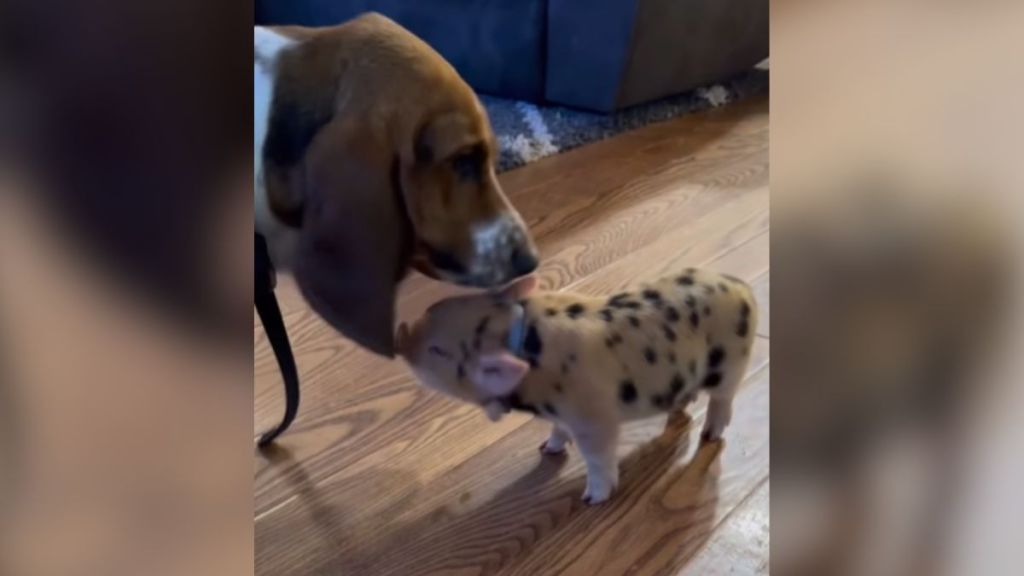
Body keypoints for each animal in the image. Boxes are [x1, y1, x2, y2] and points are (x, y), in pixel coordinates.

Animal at [395, 270, 757, 500]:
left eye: (438, 350)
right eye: (432, 308)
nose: (401, 334)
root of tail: (741, 288)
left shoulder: (593, 418)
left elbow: (596, 457)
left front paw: (593, 498)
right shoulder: (561, 414)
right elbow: (558, 431)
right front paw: (547, 448)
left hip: (730, 366)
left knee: (723, 402)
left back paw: (710, 434)